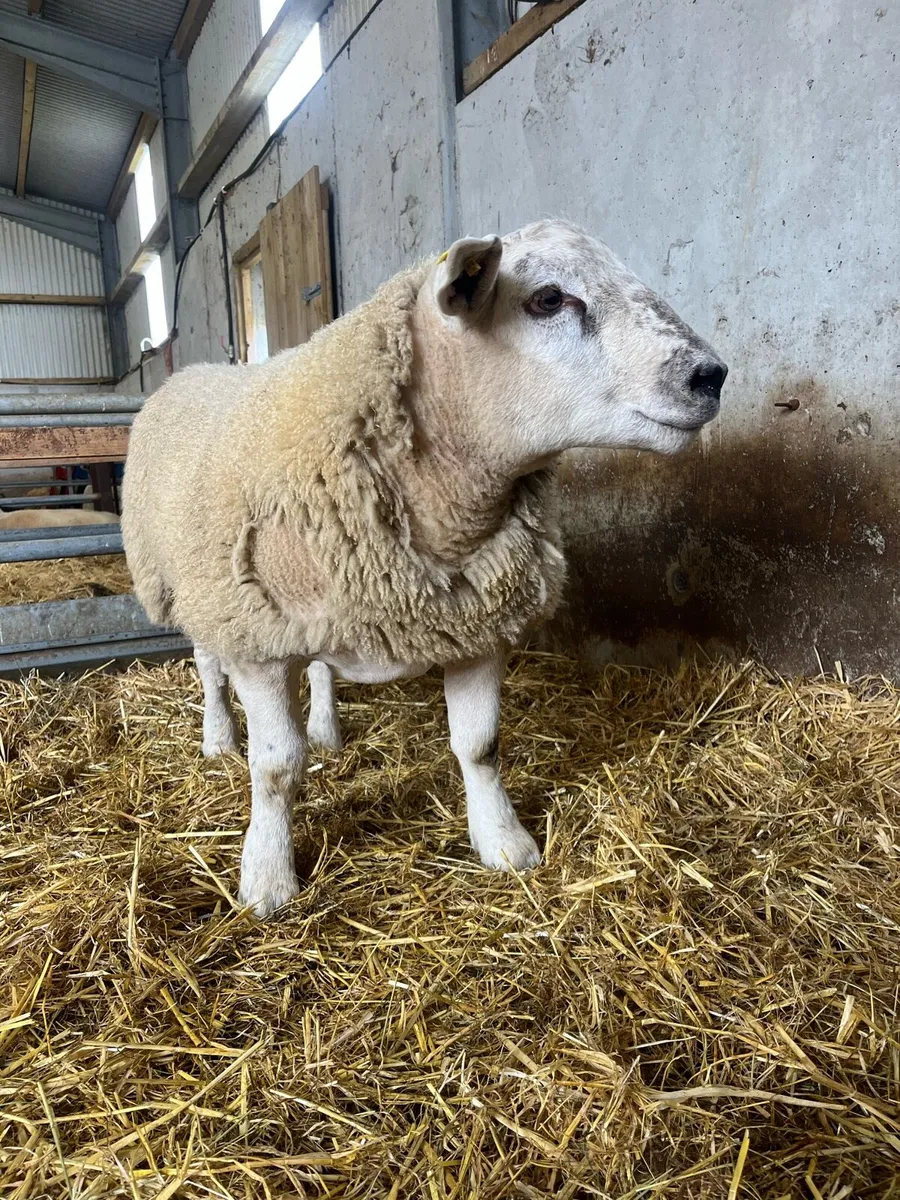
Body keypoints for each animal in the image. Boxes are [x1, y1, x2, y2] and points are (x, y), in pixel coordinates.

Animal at [122, 219, 727, 916]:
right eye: (548, 298)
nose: (711, 375)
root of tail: (188, 374)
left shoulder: (480, 618)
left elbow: (480, 745)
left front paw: (505, 844)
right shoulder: (258, 639)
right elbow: (275, 767)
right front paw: (267, 879)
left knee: (322, 666)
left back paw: (325, 728)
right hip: (193, 582)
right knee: (207, 663)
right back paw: (219, 737)